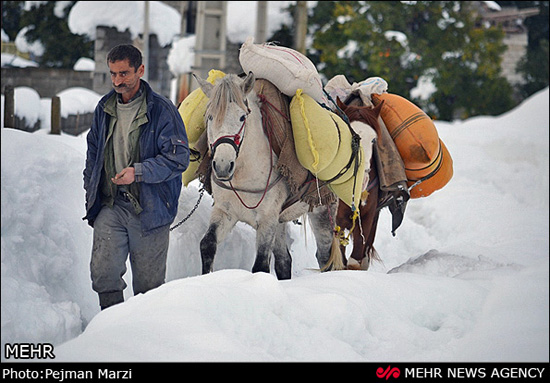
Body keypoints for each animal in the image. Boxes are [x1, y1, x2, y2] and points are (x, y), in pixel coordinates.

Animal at [194, 72, 340, 280]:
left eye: (242, 117)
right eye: (210, 117)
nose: (222, 166)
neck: (245, 173)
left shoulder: (267, 219)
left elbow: (261, 265)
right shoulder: (224, 212)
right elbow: (207, 245)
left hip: (322, 211)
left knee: (324, 257)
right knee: (284, 261)